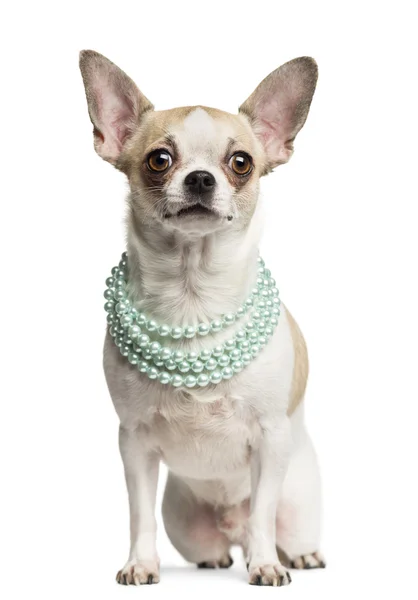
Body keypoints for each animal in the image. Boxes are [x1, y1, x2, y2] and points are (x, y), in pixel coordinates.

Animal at [80, 50, 324, 584]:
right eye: (159, 160)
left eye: (240, 163)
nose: (199, 178)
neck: (193, 299)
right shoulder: (135, 443)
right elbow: (139, 513)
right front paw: (140, 563)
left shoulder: (271, 439)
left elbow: (262, 514)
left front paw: (266, 566)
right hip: (184, 521)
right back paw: (217, 556)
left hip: (300, 501)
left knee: (272, 526)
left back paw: (292, 555)